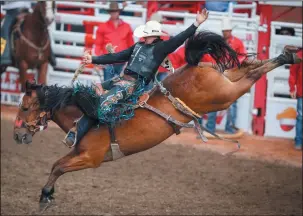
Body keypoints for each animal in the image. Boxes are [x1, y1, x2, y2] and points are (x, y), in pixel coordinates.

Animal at [12, 30, 302, 211]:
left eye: (24, 107)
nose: (17, 136)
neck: (85, 115)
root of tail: (194, 65)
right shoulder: (79, 153)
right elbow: (56, 165)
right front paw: (47, 195)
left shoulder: (90, 158)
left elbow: (59, 167)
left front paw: (45, 196)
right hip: (224, 81)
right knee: (246, 68)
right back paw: (288, 54)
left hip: (224, 96)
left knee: (252, 76)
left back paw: (287, 56)